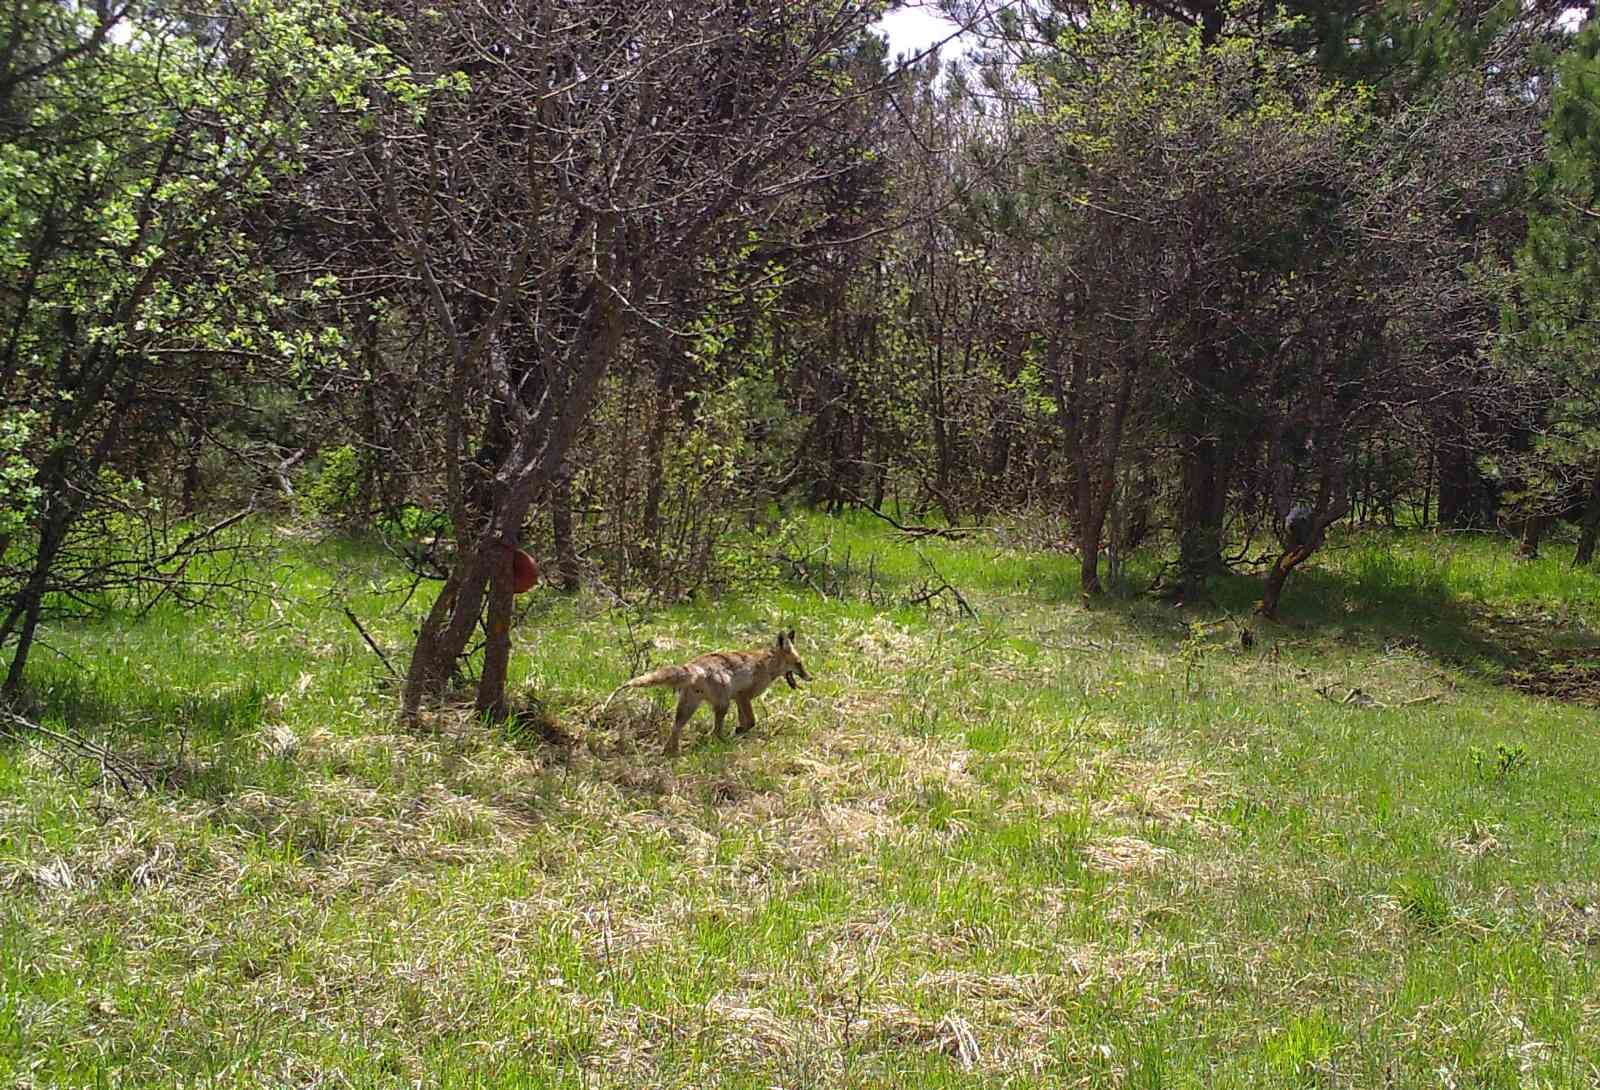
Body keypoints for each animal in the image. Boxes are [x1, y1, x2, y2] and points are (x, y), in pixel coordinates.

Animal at [604, 630, 819, 755]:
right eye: (799, 664)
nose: (810, 677)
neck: (767, 664)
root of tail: (693, 666)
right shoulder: (742, 696)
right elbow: (750, 721)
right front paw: (738, 732)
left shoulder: (738, 699)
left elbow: (745, 721)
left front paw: (739, 731)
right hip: (722, 705)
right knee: (714, 731)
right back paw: (718, 742)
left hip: (688, 708)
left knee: (675, 729)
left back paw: (672, 752)